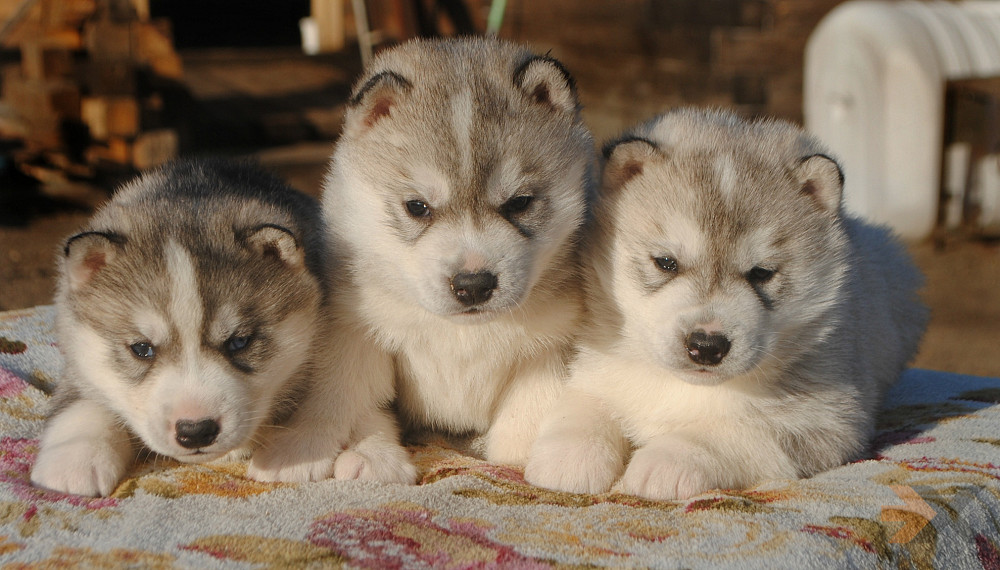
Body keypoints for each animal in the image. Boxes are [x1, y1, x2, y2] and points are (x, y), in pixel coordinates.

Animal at [30, 158, 414, 494]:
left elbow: (357, 396)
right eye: (141, 349)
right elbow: (83, 403)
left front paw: (372, 453)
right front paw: (74, 459)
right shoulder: (78, 357)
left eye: (239, 342)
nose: (195, 431)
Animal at [528, 108, 924, 500]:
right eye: (666, 262)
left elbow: (729, 432)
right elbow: (585, 406)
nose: (706, 345)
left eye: (761, 273)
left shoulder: (824, 419)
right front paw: (572, 456)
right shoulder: (598, 371)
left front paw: (667, 461)